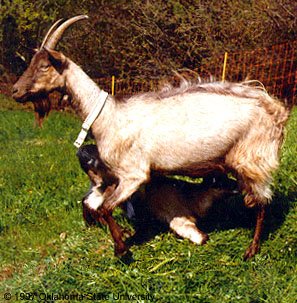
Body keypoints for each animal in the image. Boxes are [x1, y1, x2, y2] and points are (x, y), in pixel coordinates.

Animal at [12, 15, 288, 260]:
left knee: (262, 203)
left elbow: (107, 207)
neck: (108, 116)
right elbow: (101, 204)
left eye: (45, 65)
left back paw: (251, 250)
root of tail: (276, 111)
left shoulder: (133, 174)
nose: (15, 90)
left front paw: (121, 250)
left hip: (253, 159)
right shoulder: (116, 177)